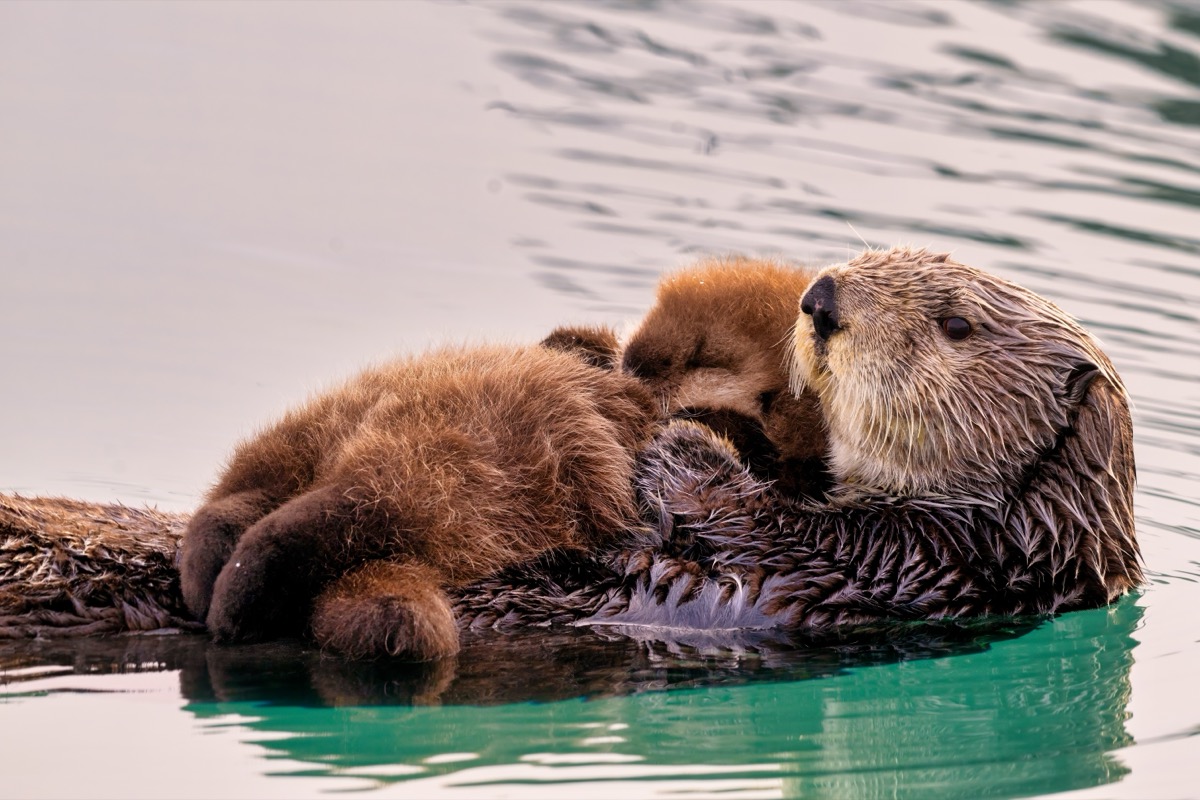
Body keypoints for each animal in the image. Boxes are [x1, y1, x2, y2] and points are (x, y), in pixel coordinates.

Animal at [179, 339, 657, 660]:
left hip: (314, 443)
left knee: (253, 495)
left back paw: (212, 564)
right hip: (443, 473)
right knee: (347, 510)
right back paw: (235, 599)